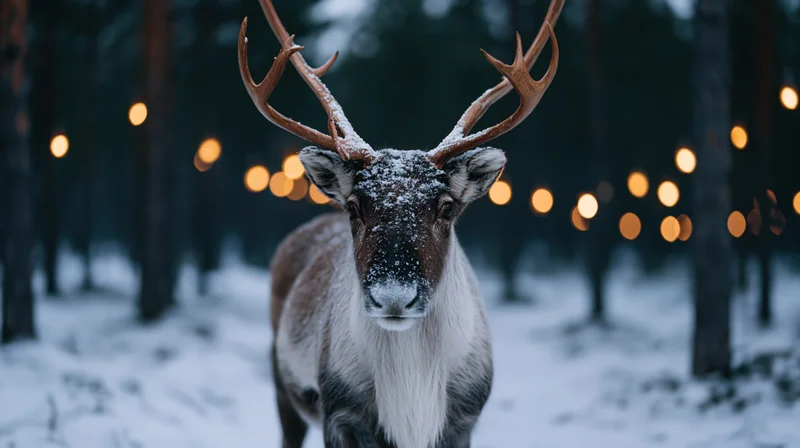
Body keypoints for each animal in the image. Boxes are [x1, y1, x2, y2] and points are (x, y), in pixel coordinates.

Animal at [237, 0, 563, 446]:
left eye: (447, 208)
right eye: (353, 207)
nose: (393, 297)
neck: (412, 400)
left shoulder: (464, 419)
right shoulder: (339, 413)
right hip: (282, 384)